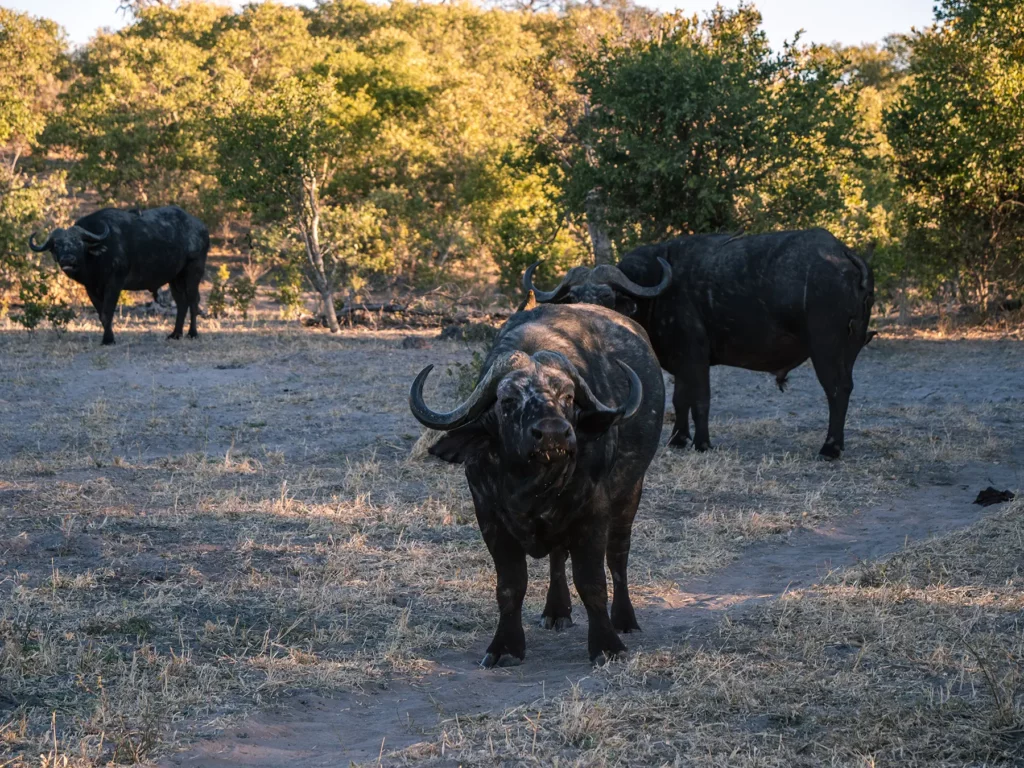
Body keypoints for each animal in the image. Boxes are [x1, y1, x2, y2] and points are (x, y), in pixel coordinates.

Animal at [30, 206, 209, 345]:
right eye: (57, 245)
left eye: (79, 242)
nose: (67, 259)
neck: (97, 258)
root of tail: (201, 227)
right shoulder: (91, 288)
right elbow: (101, 314)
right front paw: (108, 337)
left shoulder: (114, 284)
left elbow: (107, 312)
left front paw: (108, 340)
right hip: (175, 278)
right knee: (181, 303)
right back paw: (175, 334)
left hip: (193, 272)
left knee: (193, 302)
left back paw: (192, 333)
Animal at [410, 303, 664, 665]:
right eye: (507, 401)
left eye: (568, 396)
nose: (554, 434)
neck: (533, 486)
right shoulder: (489, 517)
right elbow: (511, 585)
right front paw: (505, 646)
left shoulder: (593, 513)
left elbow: (592, 582)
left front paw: (606, 645)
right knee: (558, 556)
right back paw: (556, 611)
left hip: (631, 493)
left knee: (618, 555)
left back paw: (624, 618)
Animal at [525, 229, 874, 460]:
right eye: (573, 296)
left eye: (607, 296)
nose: (584, 315)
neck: (657, 294)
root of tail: (844, 253)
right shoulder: (681, 361)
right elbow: (681, 400)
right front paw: (678, 439)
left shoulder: (695, 356)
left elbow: (701, 400)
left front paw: (702, 442)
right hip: (851, 348)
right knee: (847, 386)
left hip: (825, 346)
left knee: (836, 390)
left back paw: (830, 447)